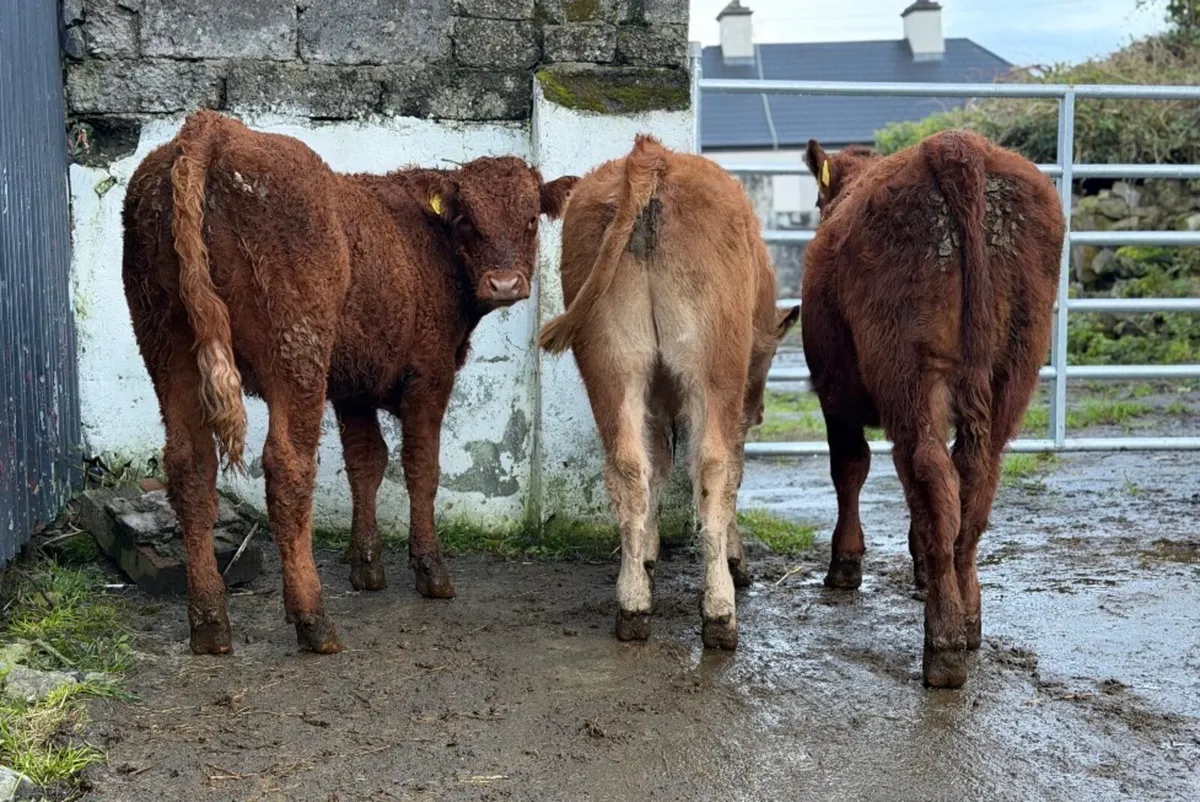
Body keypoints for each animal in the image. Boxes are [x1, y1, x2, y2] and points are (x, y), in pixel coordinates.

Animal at [122, 110, 577, 655]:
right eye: (468, 219)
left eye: (530, 219)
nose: (506, 284)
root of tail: (215, 129)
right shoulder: (430, 374)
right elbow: (421, 466)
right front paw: (430, 570)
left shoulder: (354, 386)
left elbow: (367, 462)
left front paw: (366, 565)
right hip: (297, 353)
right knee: (287, 468)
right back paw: (313, 620)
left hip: (166, 349)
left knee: (191, 466)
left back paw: (210, 623)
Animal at [539, 135, 800, 650]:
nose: (761, 411)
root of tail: (652, 156)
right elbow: (731, 475)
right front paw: (736, 560)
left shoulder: (656, 399)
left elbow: (657, 467)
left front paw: (649, 554)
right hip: (713, 369)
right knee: (713, 466)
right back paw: (719, 611)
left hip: (611, 363)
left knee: (628, 466)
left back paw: (633, 601)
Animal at [801, 129, 1064, 688]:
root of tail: (958, 146)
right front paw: (919, 563)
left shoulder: (834, 393)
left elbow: (849, 469)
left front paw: (845, 563)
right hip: (1011, 370)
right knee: (971, 482)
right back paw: (967, 614)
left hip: (910, 374)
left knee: (928, 470)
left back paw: (942, 640)